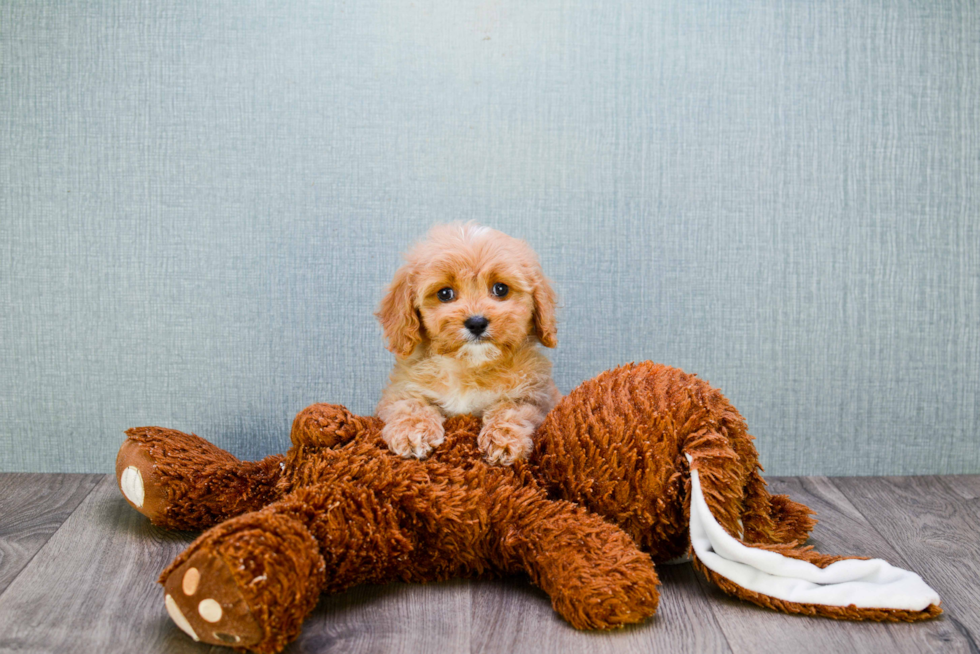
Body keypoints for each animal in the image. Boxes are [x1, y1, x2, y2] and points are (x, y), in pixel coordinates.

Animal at [374, 224, 560, 466]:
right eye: (445, 293)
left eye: (501, 289)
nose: (476, 322)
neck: (468, 365)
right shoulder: (401, 389)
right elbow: (410, 405)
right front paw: (413, 433)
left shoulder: (535, 396)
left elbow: (511, 409)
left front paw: (503, 441)